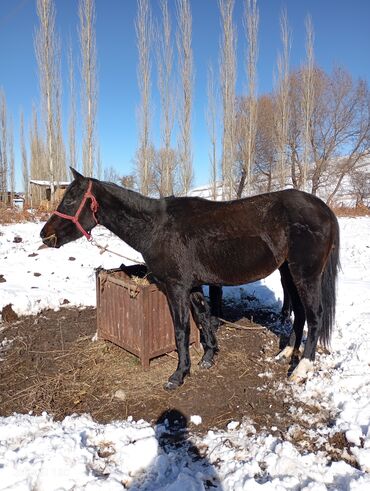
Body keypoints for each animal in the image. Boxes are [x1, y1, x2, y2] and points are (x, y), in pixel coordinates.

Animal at [41, 171, 342, 390]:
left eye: (70, 200)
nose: (45, 235)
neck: (157, 227)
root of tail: (324, 209)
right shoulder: (193, 285)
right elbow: (204, 318)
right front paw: (208, 357)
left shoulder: (175, 287)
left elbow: (181, 330)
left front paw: (178, 375)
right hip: (288, 273)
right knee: (300, 314)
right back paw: (286, 354)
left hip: (305, 275)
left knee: (315, 316)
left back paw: (301, 369)